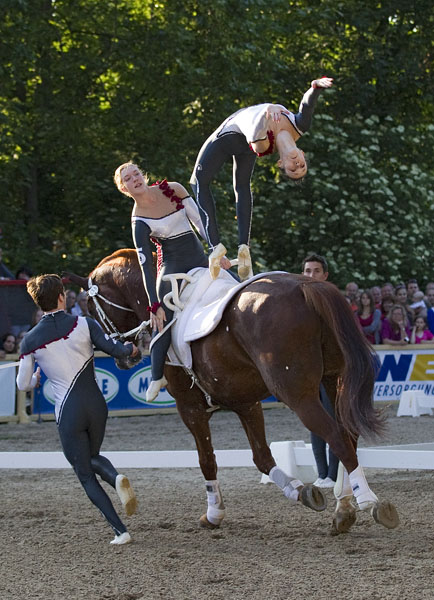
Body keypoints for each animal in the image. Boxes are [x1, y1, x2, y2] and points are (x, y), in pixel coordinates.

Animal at [62, 248, 398, 536]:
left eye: (91, 307)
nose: (125, 356)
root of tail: (307, 285)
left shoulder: (190, 408)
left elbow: (207, 460)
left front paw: (214, 514)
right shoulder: (246, 402)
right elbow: (262, 456)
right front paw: (299, 491)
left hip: (298, 395)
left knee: (337, 436)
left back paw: (370, 502)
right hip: (332, 380)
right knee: (348, 434)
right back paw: (343, 510)